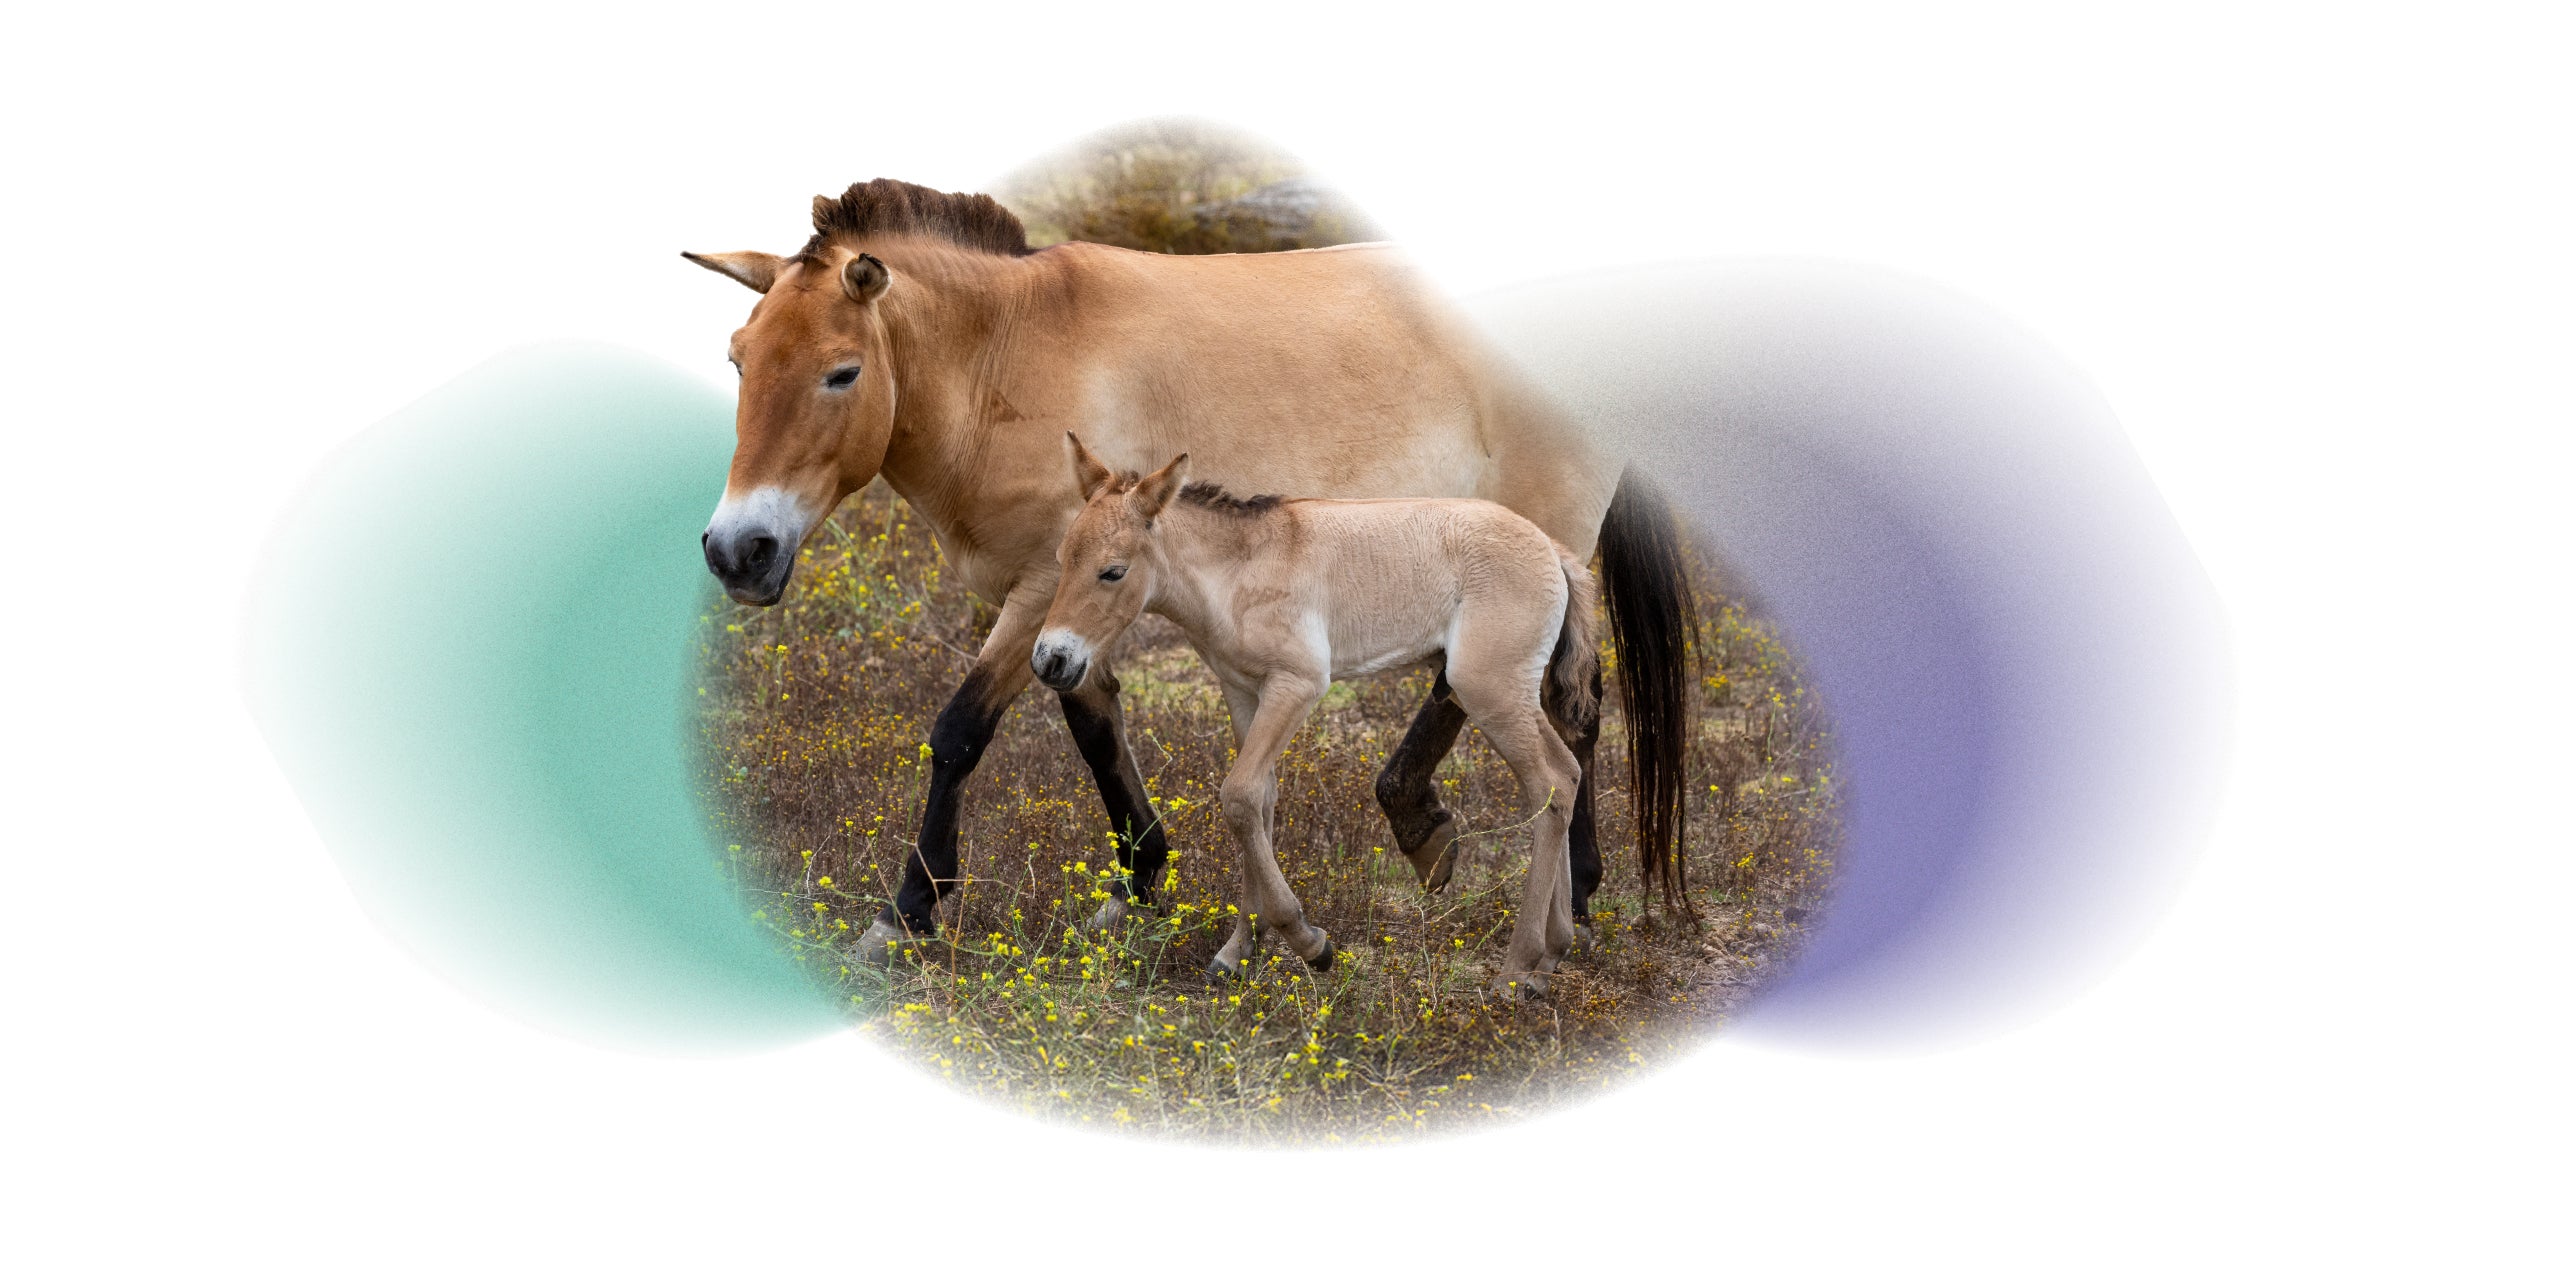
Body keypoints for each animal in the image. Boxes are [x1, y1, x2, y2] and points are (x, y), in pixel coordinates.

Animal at [1034, 437, 1601, 994]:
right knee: (1565, 775)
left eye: (1112, 571)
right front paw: (1239, 951)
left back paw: (1518, 967)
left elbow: (1238, 795)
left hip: (1489, 691)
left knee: (1549, 785)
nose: (1050, 660)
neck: (1239, 571)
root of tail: (1554, 552)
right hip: (1507, 695)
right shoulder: (1244, 692)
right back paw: (1551, 955)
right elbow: (1258, 803)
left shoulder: (1297, 685)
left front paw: (1308, 942)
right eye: (1060, 557)